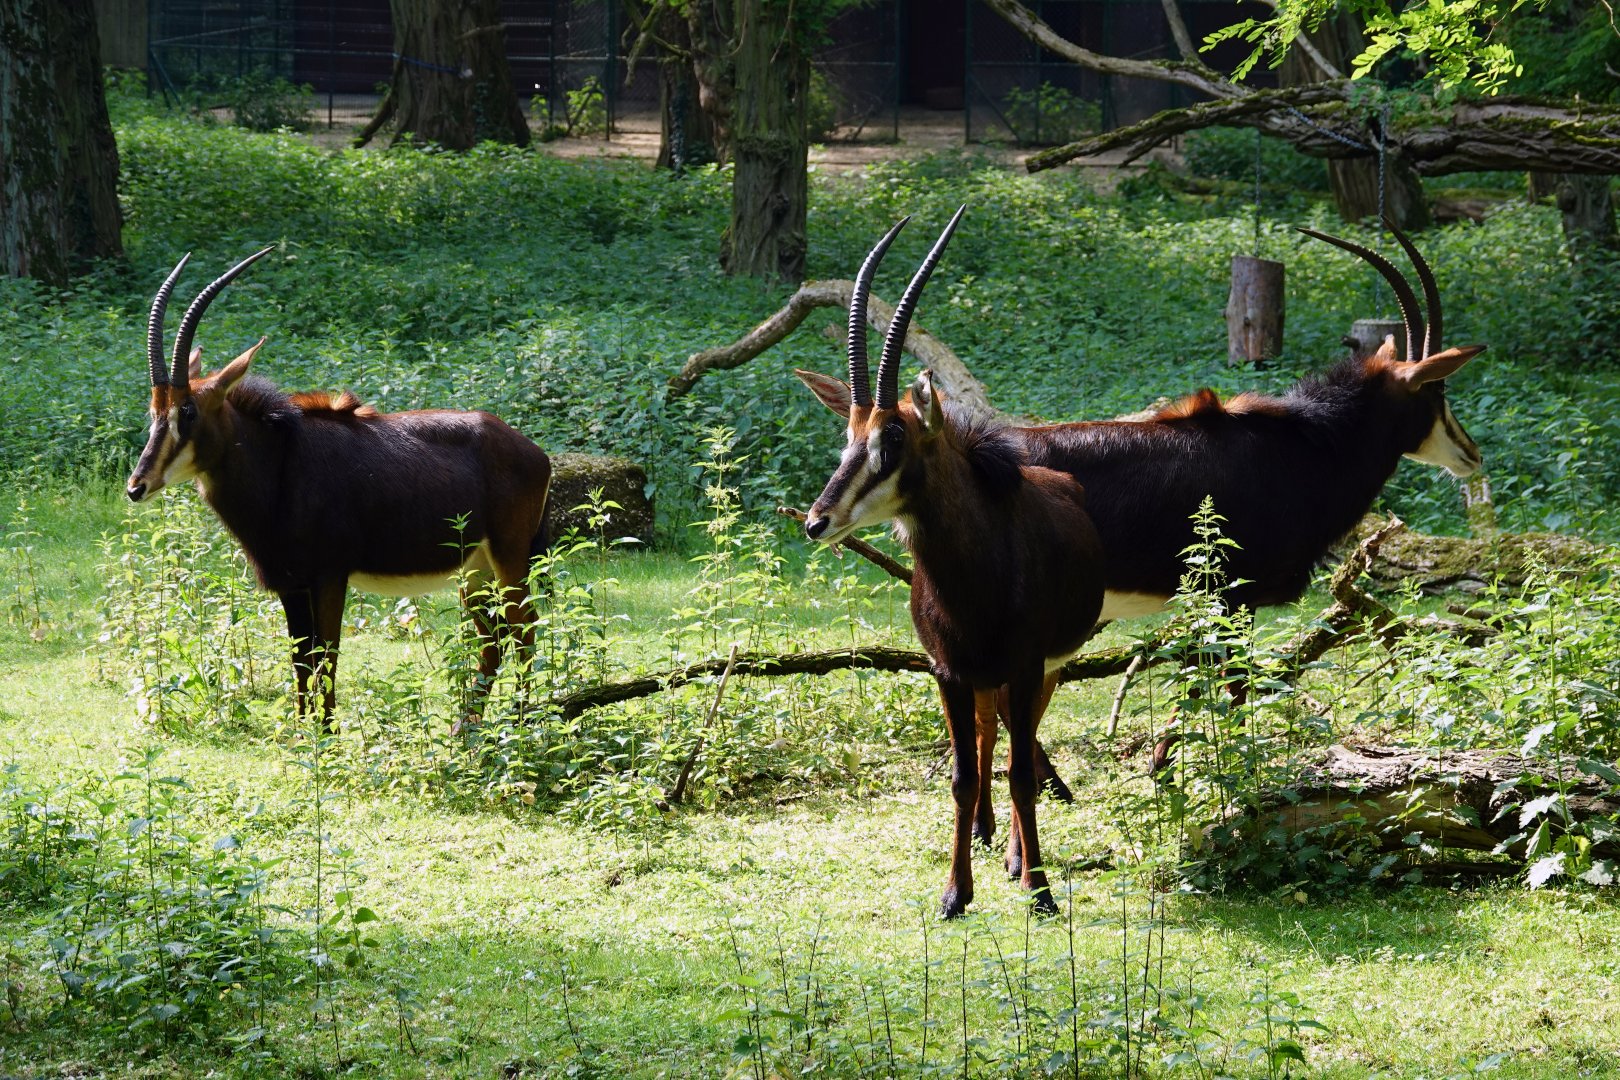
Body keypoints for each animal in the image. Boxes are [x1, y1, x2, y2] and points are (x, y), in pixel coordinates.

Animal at [127, 248, 553, 732]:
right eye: (153, 410)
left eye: (188, 412)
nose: (137, 486)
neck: (279, 463)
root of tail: (536, 453)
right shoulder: (290, 585)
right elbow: (300, 662)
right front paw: (302, 736)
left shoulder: (329, 576)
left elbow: (326, 657)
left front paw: (327, 739)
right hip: (474, 569)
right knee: (494, 636)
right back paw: (468, 728)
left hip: (509, 556)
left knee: (523, 626)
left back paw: (523, 725)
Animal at [795, 223, 1483, 848]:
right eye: (1437, 389)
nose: (1471, 454)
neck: (1301, 447)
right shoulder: (1234, 597)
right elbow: (1228, 687)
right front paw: (1198, 776)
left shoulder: (1210, 600)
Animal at [798, 207, 1105, 917]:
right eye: (847, 436)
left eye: (893, 438)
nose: (816, 521)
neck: (976, 580)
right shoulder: (948, 672)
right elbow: (964, 776)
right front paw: (953, 893)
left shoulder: (1025, 666)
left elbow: (1022, 772)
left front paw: (1040, 890)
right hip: (982, 680)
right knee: (992, 736)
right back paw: (992, 837)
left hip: (1048, 667)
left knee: (1022, 743)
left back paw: (1019, 859)